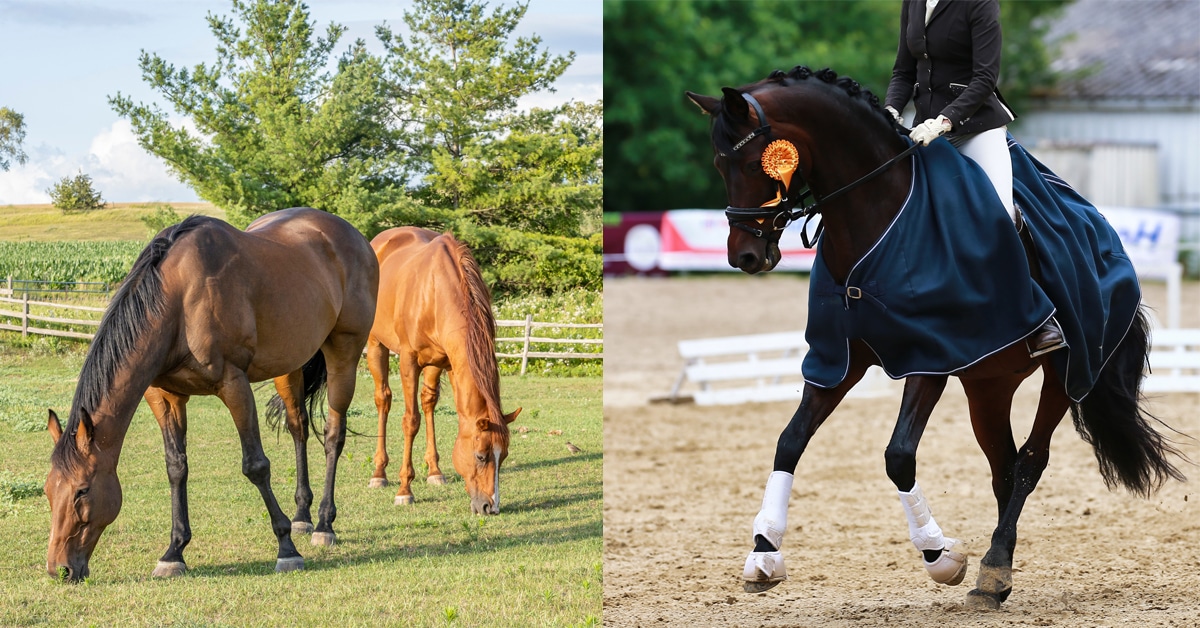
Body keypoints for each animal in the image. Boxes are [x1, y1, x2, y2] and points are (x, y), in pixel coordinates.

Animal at [44, 207, 378, 582]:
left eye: (81, 491)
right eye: (48, 490)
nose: (60, 569)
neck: (178, 299)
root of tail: (353, 236)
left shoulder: (234, 384)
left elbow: (256, 466)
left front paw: (286, 549)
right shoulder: (165, 395)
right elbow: (176, 466)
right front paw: (174, 552)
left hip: (344, 352)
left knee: (334, 435)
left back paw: (323, 523)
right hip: (289, 365)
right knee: (298, 428)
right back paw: (302, 516)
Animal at [364, 227, 520, 515]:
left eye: (503, 456)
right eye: (481, 456)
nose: (489, 507)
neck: (435, 291)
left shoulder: (448, 362)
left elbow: (432, 408)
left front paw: (433, 472)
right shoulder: (408, 361)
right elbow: (410, 421)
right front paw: (405, 490)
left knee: (428, 403)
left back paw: (433, 471)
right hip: (375, 345)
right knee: (383, 399)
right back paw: (379, 473)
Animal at [686, 67, 1186, 609]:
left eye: (752, 161)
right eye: (718, 163)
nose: (745, 257)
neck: (875, 213)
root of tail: (1100, 227)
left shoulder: (928, 357)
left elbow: (898, 456)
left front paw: (940, 556)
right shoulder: (838, 360)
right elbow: (790, 441)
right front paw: (764, 552)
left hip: (1065, 373)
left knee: (1030, 462)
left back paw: (991, 568)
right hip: (988, 384)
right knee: (1003, 468)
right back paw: (998, 575)